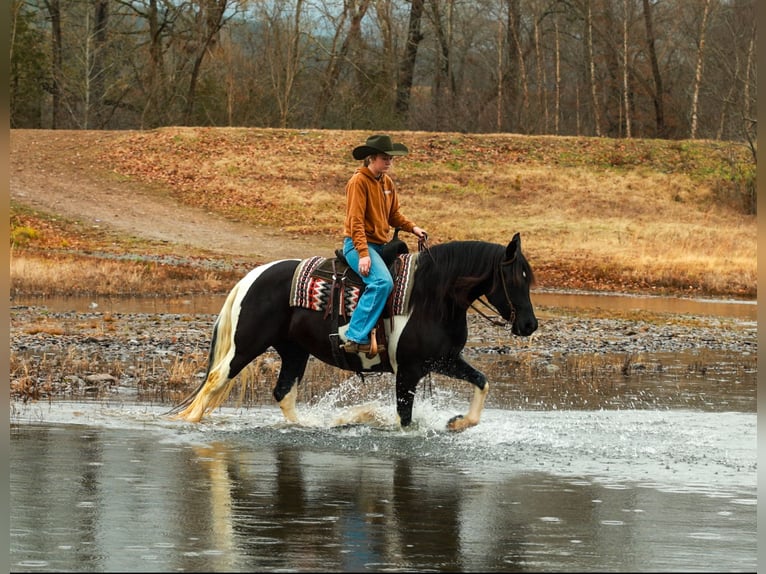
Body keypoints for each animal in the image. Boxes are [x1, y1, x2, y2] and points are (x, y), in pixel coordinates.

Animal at [168, 233, 537, 432]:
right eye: (514, 277)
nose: (529, 325)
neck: (432, 296)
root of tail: (252, 276)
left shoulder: (443, 360)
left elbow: (482, 381)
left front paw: (458, 422)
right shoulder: (409, 370)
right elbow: (405, 419)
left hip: (293, 350)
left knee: (284, 392)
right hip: (247, 345)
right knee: (216, 379)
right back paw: (190, 422)